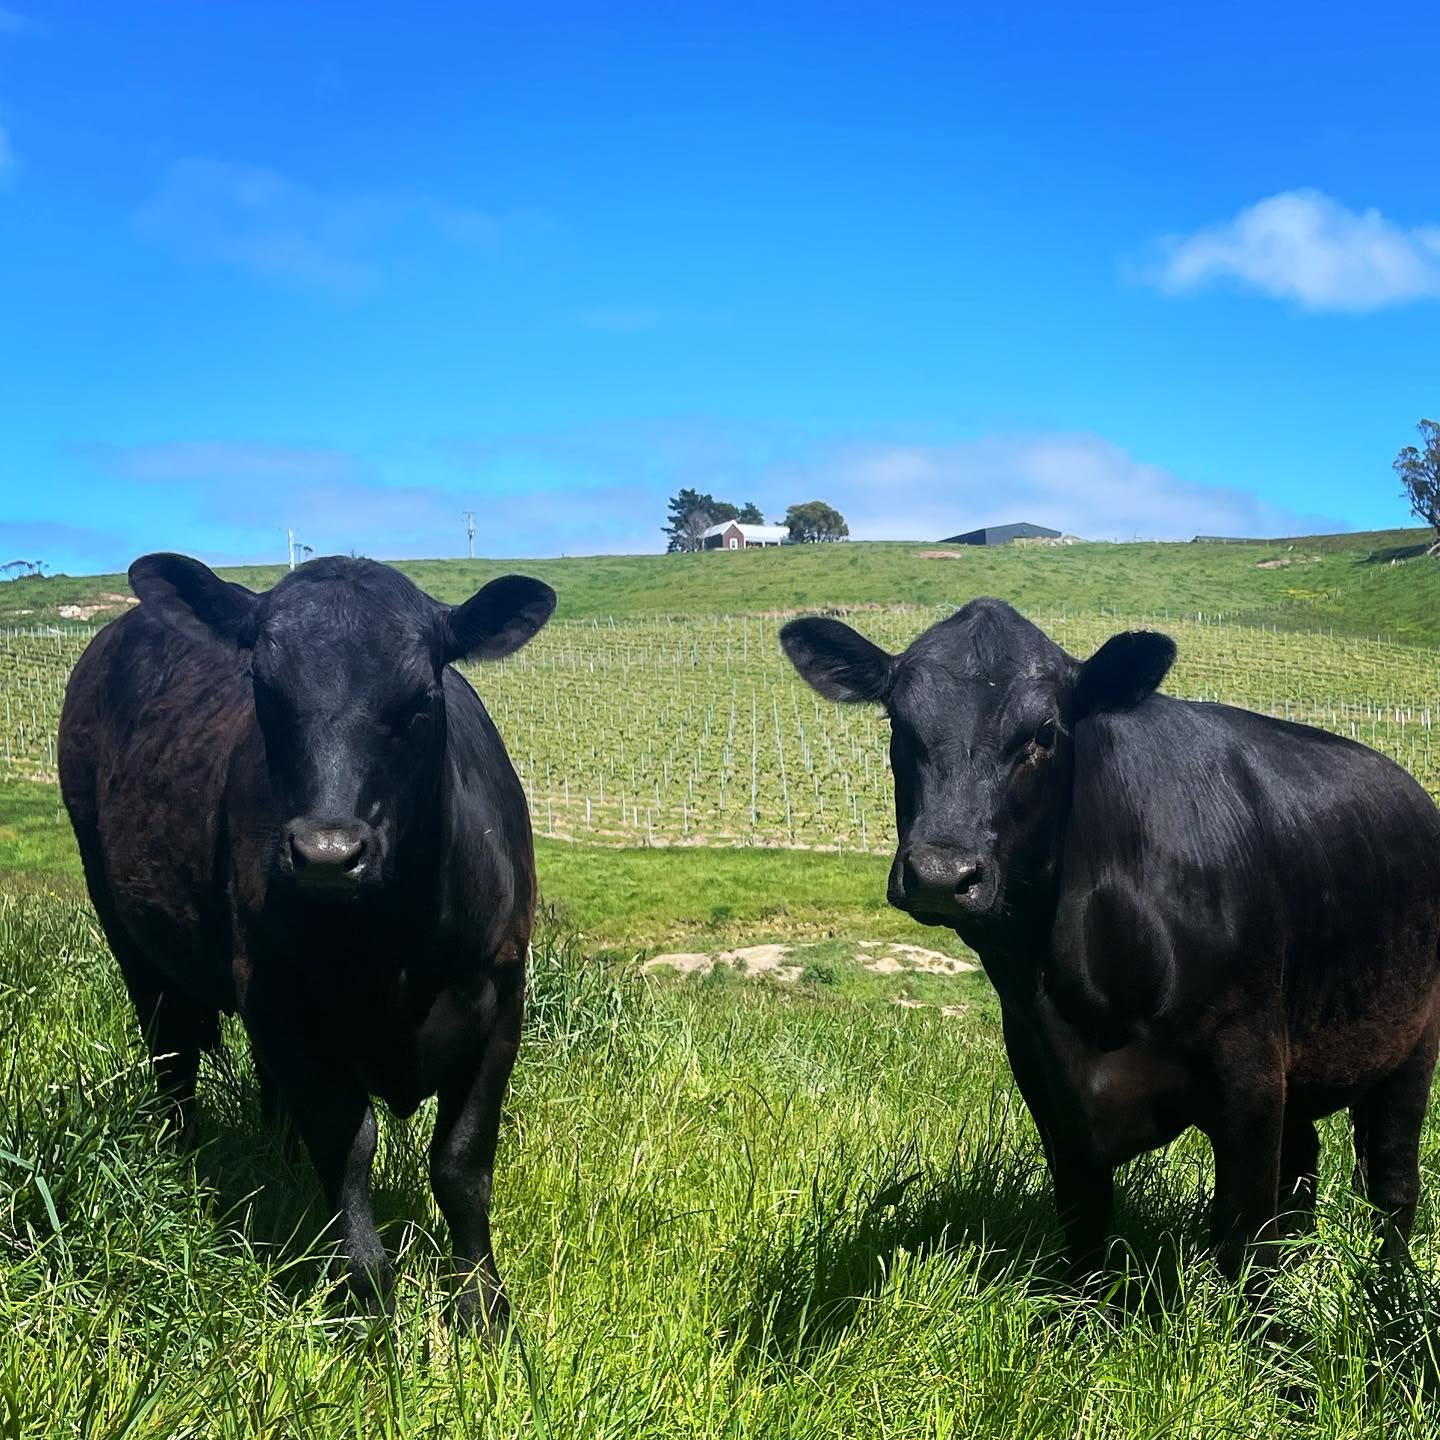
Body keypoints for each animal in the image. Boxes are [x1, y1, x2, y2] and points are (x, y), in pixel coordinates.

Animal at [58, 552, 556, 1329]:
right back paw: (181, 1161)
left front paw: (484, 1310)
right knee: (172, 1053)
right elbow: (347, 1149)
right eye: (265, 690)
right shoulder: (279, 1002)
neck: (393, 949)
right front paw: (369, 1314)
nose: (327, 853)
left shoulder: (502, 996)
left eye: (420, 698)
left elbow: (462, 1162)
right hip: (126, 930)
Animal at [780, 598, 1440, 1277]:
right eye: (900, 724)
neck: (1085, 987)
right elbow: (1084, 1233)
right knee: (1304, 1165)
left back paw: (1389, 1289)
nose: (942, 874)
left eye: (1044, 734)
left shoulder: (1251, 1070)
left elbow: (1242, 1231)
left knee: (1391, 1181)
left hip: (1412, 1038)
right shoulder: (1046, 1083)